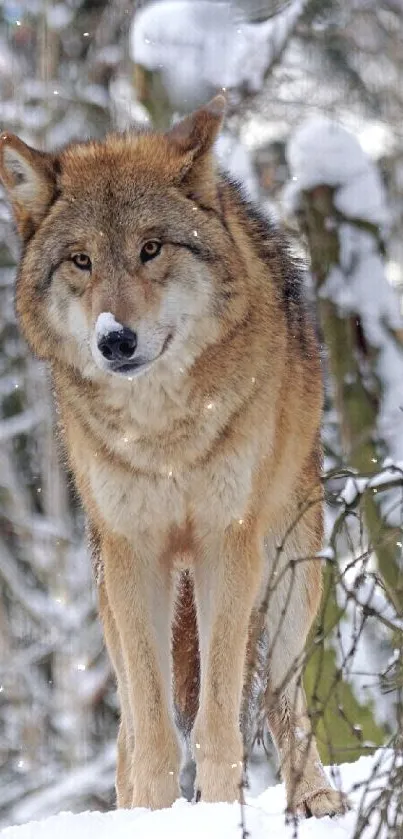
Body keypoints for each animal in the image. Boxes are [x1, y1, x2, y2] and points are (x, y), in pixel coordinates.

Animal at [0, 95, 348, 816]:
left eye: (151, 248)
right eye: (81, 261)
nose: (115, 340)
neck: (164, 434)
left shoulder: (226, 541)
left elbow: (217, 717)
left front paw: (216, 810)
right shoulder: (133, 554)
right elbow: (154, 727)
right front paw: (153, 815)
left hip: (291, 572)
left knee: (280, 695)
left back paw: (313, 797)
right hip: (109, 590)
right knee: (129, 725)